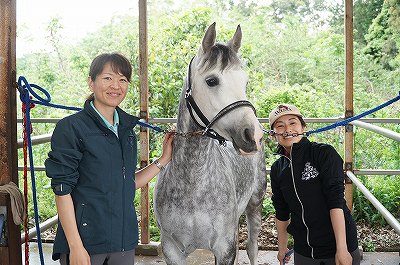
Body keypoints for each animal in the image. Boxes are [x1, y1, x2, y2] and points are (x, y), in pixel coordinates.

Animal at [155, 22, 268, 264]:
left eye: (245, 82)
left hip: (255, 204)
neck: (193, 184)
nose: (253, 135)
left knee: (252, 248)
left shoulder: (225, 248)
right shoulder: (171, 249)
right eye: (212, 81)